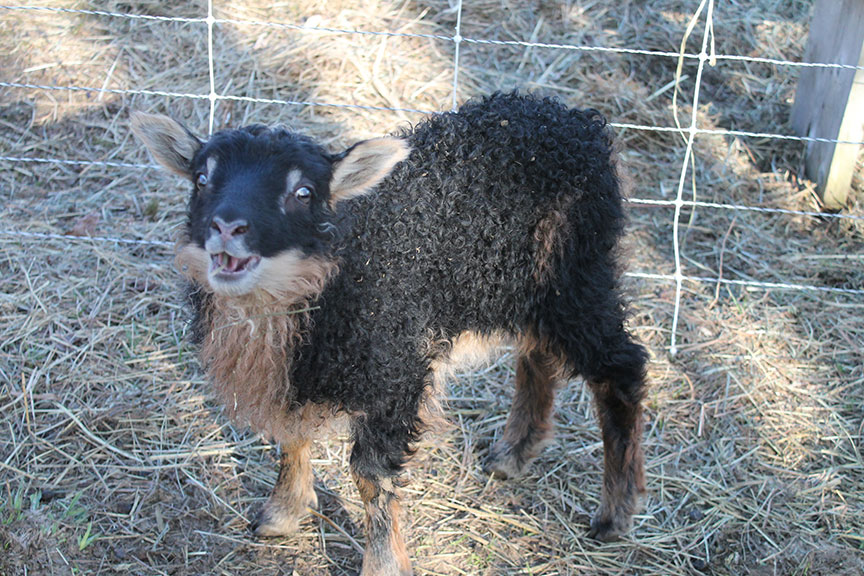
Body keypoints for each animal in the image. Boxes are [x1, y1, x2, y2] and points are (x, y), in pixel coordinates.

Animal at [131, 92, 648, 576]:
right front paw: (283, 513)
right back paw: (514, 454)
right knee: (538, 353)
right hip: (525, 288)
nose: (226, 226)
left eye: (303, 192)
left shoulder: (394, 370)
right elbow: (291, 436)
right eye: (201, 180)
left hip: (577, 274)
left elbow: (370, 477)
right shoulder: (296, 373)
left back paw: (615, 514)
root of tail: (572, 118)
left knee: (620, 368)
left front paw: (382, 563)